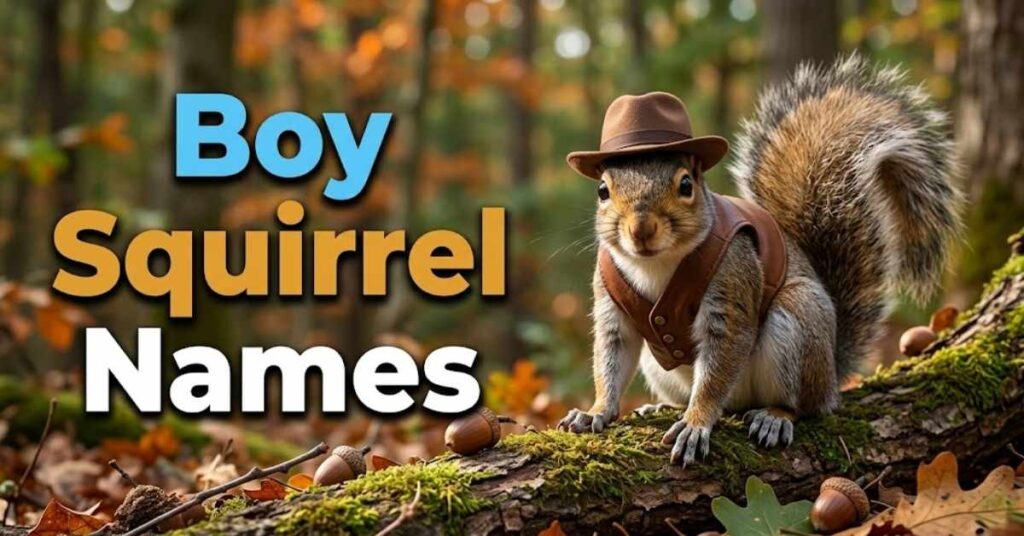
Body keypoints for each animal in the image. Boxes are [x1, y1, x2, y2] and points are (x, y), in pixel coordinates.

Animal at [557, 54, 963, 466]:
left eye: (686, 185)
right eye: (603, 190)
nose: (641, 229)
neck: (656, 265)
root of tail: (832, 376)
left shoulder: (732, 284)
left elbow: (718, 369)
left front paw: (696, 424)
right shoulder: (611, 301)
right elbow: (610, 359)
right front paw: (594, 412)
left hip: (798, 325)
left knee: (803, 405)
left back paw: (774, 416)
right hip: (658, 365)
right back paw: (661, 407)